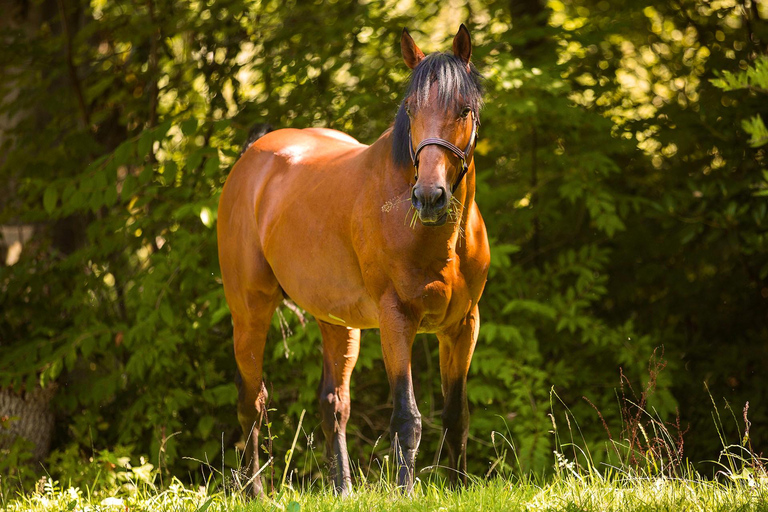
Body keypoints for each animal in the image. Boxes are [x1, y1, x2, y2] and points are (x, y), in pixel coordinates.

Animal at [216, 25, 488, 496]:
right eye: (411, 109)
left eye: (464, 109)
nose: (429, 197)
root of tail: (252, 157)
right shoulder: (397, 320)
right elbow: (407, 418)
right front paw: (405, 492)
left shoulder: (462, 325)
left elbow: (456, 415)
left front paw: (459, 488)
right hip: (250, 311)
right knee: (252, 400)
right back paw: (255, 491)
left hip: (336, 321)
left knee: (333, 403)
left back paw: (341, 488)